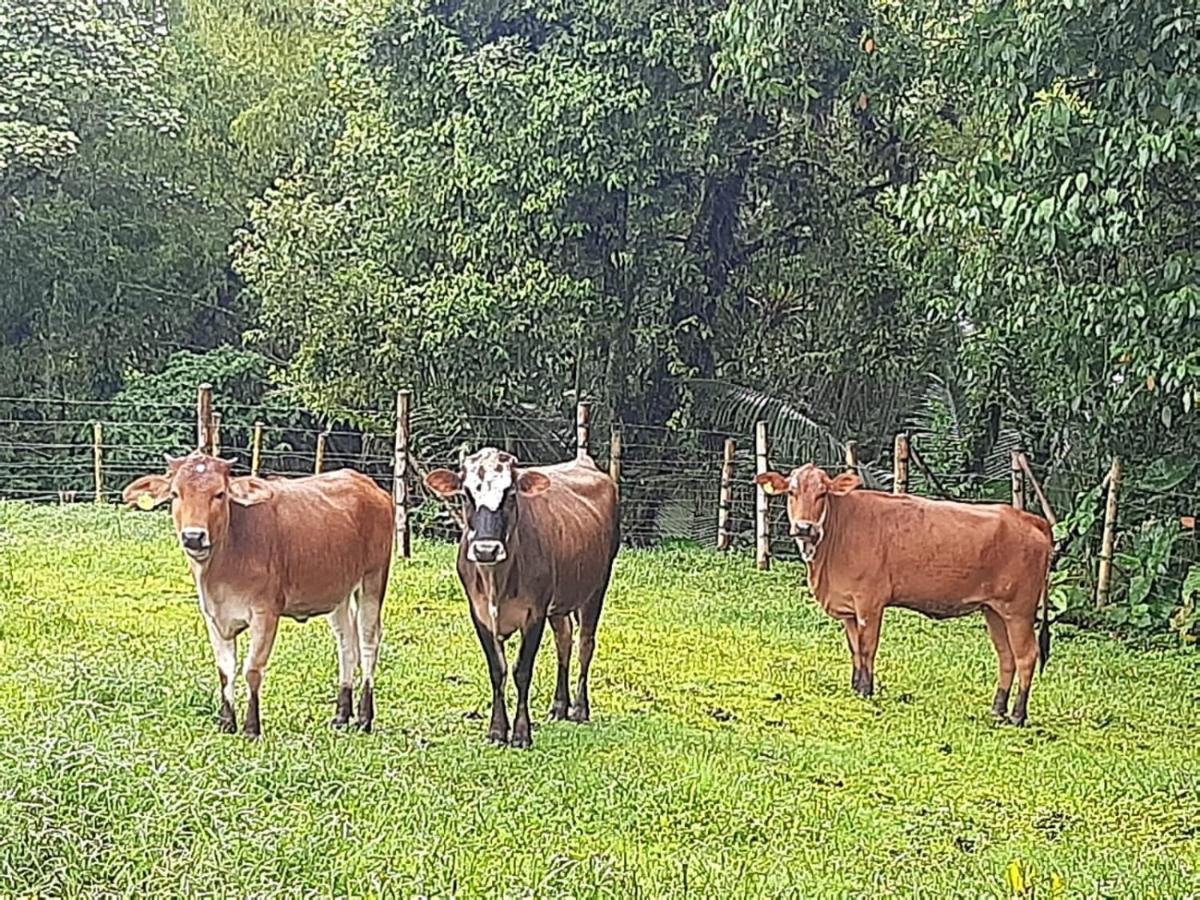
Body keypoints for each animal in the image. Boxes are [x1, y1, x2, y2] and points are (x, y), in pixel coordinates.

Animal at [121, 453, 393, 734]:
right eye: (175, 493)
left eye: (220, 494)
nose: (193, 537)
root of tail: (369, 485)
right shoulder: (212, 616)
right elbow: (225, 670)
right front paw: (227, 722)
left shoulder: (266, 613)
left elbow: (252, 669)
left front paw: (251, 727)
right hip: (339, 592)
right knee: (347, 644)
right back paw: (341, 715)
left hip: (373, 579)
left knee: (368, 642)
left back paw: (364, 717)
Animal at [424, 448, 619, 748]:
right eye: (466, 494)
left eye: (510, 494)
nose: (486, 549)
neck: (497, 582)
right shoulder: (479, 613)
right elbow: (497, 670)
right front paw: (496, 730)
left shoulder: (534, 613)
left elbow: (521, 671)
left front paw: (521, 733)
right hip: (559, 602)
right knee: (564, 640)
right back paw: (559, 706)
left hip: (597, 586)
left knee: (585, 644)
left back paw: (579, 709)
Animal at [758, 465, 1051, 724]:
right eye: (792, 492)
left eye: (822, 493)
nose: (804, 527)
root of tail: (1030, 519)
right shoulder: (849, 609)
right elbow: (854, 648)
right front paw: (855, 687)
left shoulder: (869, 603)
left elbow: (867, 647)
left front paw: (866, 690)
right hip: (994, 611)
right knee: (1006, 656)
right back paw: (998, 709)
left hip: (1019, 611)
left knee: (1026, 656)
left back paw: (1017, 715)